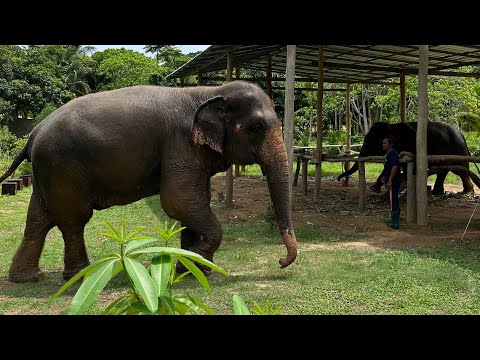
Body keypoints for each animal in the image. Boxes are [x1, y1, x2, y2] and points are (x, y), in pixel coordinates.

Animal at [1, 81, 298, 282]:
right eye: (257, 127)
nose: (281, 262)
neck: (210, 90)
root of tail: (33, 133)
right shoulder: (180, 143)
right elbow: (178, 202)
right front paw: (189, 264)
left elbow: (192, 203)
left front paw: (194, 268)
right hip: (62, 168)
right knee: (72, 220)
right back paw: (79, 276)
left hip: (47, 173)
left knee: (38, 219)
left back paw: (27, 278)